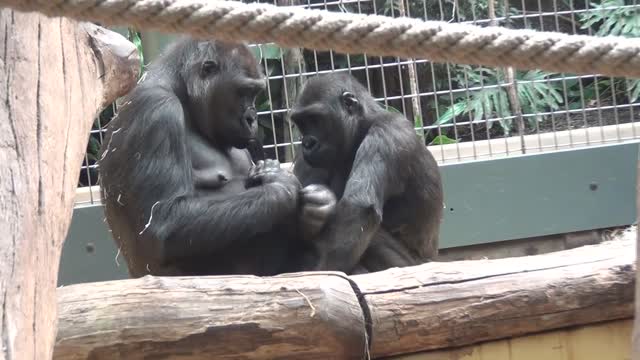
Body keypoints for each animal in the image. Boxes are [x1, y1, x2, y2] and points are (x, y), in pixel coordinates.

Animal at [99, 38, 336, 278]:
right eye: (243, 91)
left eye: (255, 93)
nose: (252, 119)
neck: (181, 93)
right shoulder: (157, 110)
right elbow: (163, 220)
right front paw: (282, 186)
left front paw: (317, 206)